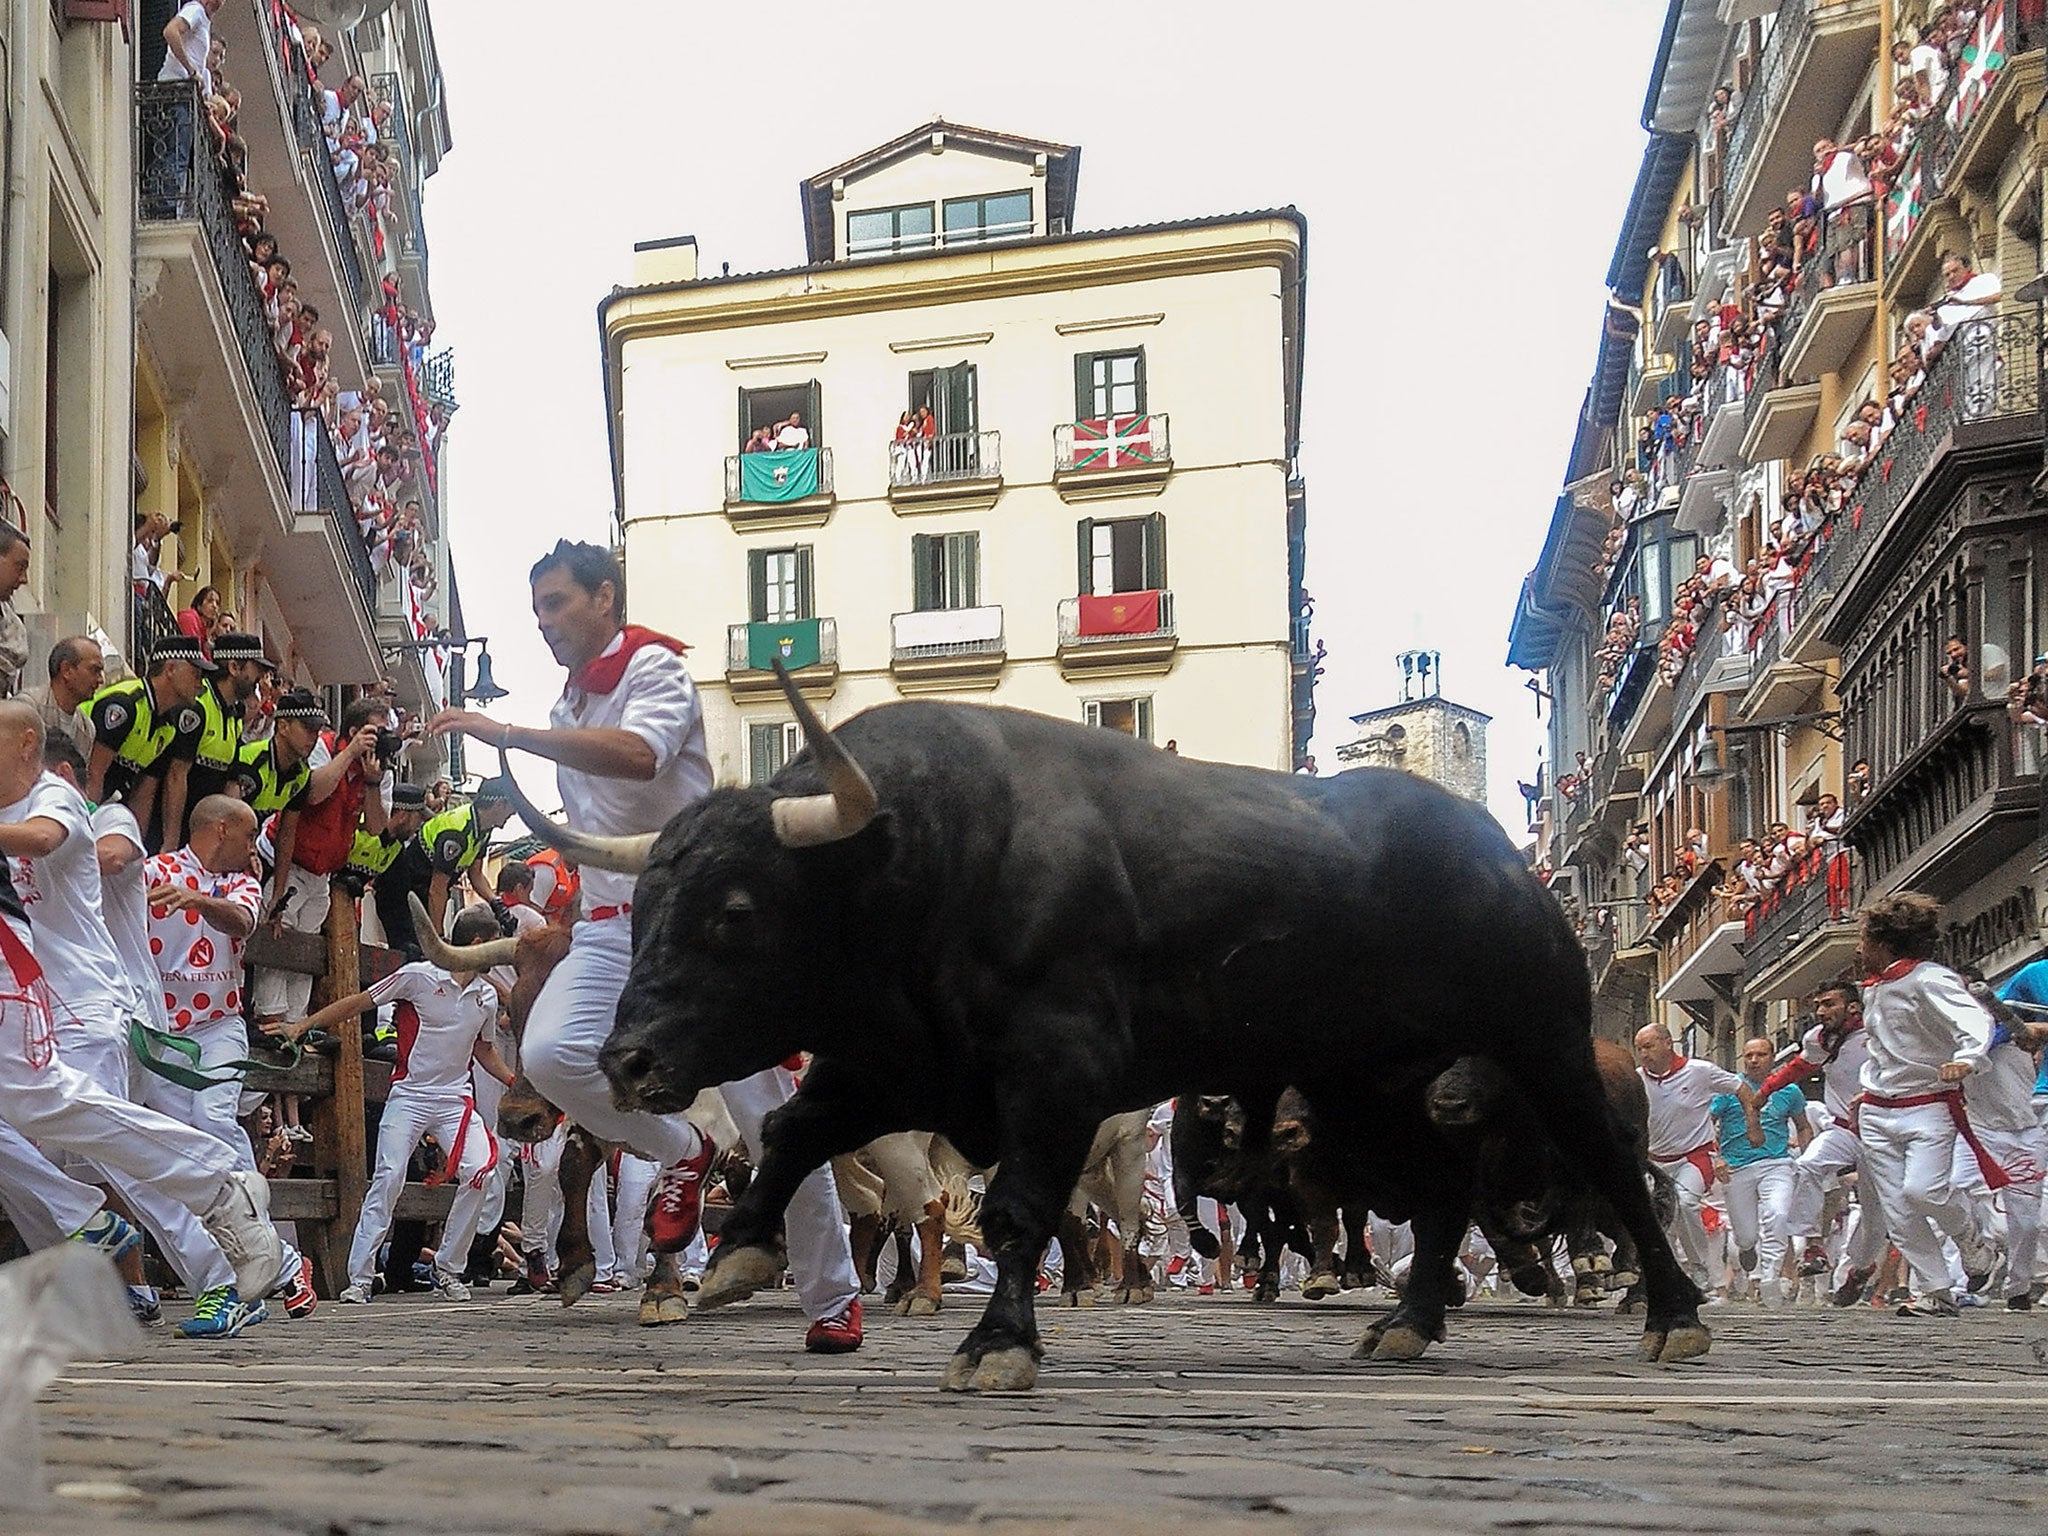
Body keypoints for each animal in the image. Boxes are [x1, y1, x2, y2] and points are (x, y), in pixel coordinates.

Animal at [503, 675, 1703, 1392]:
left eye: (737, 912)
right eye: (644, 910)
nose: (627, 1061)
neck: (932, 849)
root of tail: (1501, 856)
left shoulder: (1057, 1071)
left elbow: (1014, 1210)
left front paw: (997, 1343)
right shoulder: (901, 1066)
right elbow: (798, 1130)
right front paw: (737, 1255)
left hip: (1540, 1040)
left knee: (1608, 1169)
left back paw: (1671, 1313)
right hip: (1363, 1081)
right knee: (1444, 1190)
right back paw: (1405, 1322)